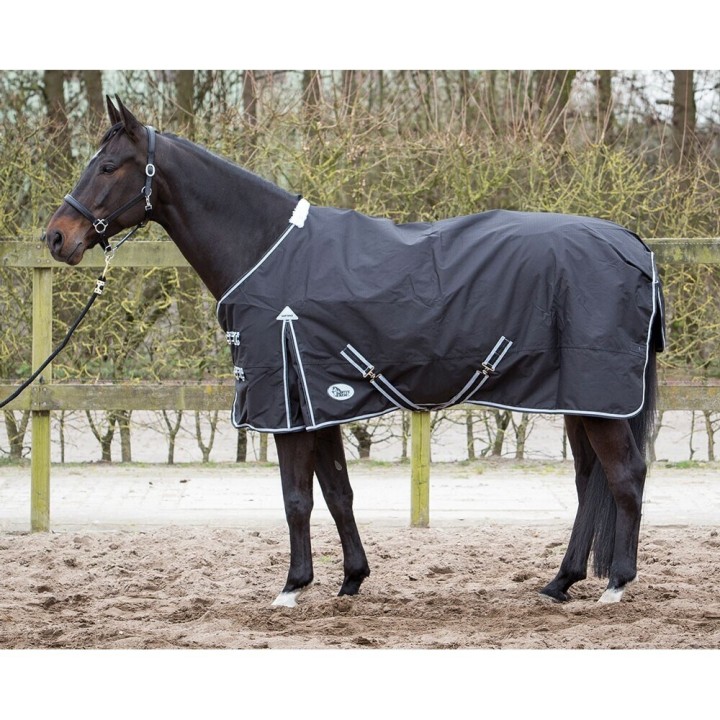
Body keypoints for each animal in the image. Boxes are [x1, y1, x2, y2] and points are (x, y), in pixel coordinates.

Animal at [45, 97, 664, 607]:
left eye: (107, 166)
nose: (56, 237)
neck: (266, 251)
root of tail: (633, 245)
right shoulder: (318, 402)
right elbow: (338, 491)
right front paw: (351, 580)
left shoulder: (287, 407)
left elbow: (297, 498)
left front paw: (292, 587)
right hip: (581, 400)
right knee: (588, 482)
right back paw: (560, 582)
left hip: (600, 400)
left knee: (626, 476)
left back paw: (616, 584)